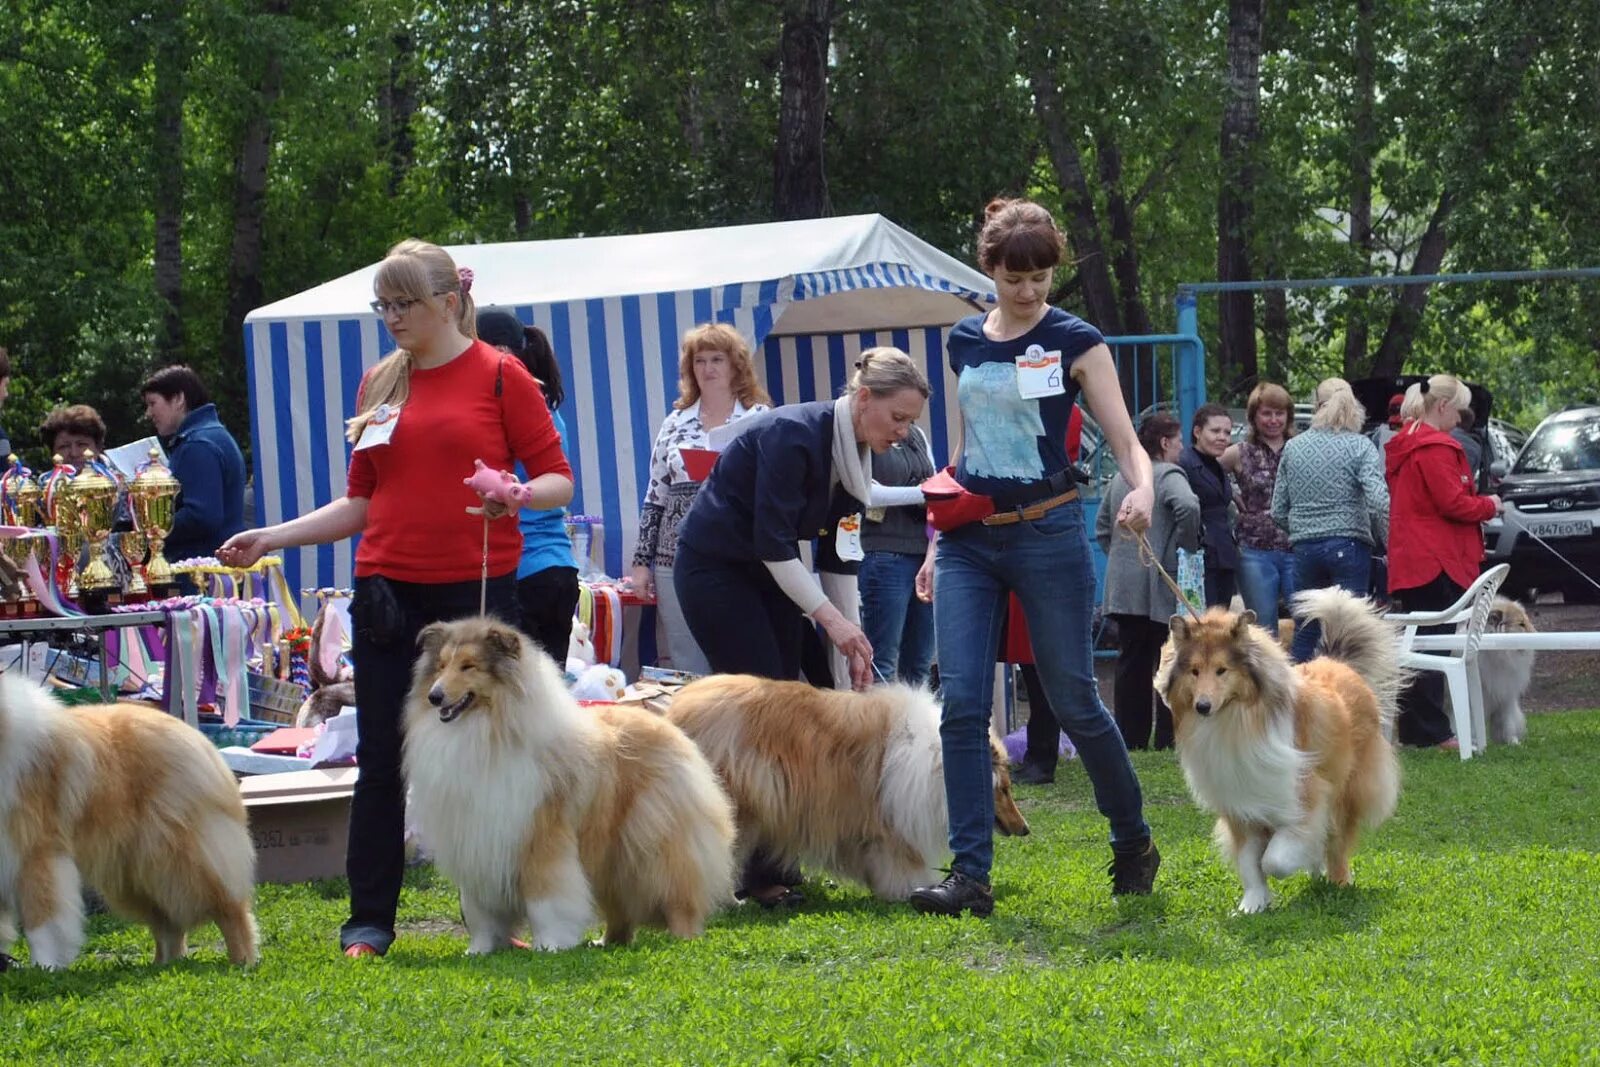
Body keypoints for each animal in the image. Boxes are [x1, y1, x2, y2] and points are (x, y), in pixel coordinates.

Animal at [0, 675, 256, 966]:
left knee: (230, 909)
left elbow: (42, 923)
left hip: (181, 861)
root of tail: (199, 738)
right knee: (167, 923)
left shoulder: (34, 854)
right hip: (137, 873)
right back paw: (162, 965)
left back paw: (243, 961)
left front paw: (45, 968)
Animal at [409, 617, 739, 953]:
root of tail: (664, 723)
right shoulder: (476, 845)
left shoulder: (541, 840)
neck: (485, 729)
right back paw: (606, 942)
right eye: (441, 666)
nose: (434, 697)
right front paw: (479, 950)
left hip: (655, 848)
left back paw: (683, 937)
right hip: (611, 857)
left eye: (468, 666)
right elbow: (480, 910)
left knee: (680, 895)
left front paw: (550, 945)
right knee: (620, 910)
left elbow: (546, 900)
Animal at [665, 675, 1030, 902]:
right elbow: (903, 862)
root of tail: (672, 712)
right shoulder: (890, 826)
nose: (1026, 829)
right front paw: (913, 888)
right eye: (1005, 790)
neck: (937, 762)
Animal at [1158, 588, 1408, 915]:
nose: (1202, 706)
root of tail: (1337, 662)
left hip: (1348, 789)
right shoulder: (1240, 806)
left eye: (1222, 670)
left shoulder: (1303, 794)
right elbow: (1249, 862)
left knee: (1337, 842)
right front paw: (1253, 904)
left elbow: (1274, 859)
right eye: (1194, 671)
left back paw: (1338, 880)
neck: (1236, 721)